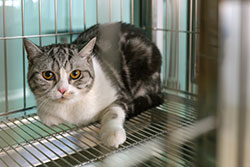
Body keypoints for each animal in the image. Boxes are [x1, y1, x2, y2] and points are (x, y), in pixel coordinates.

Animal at [23, 21, 164, 147]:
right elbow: (50, 118)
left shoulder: (121, 93)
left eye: (75, 73)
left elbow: (114, 111)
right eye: (48, 75)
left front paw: (113, 133)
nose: (63, 90)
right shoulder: (45, 112)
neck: (71, 109)